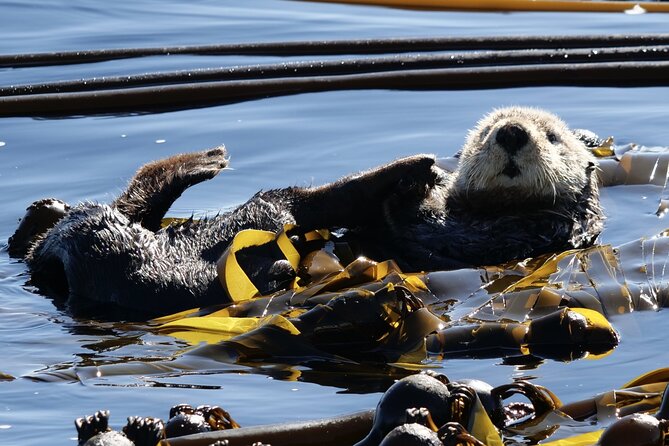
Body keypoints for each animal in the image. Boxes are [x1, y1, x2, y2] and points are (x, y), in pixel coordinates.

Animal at [7, 107, 604, 318]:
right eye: (484, 133)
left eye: (552, 137)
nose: (511, 132)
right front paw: (429, 177)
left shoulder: (522, 232)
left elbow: (417, 228)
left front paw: (419, 182)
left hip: (130, 253)